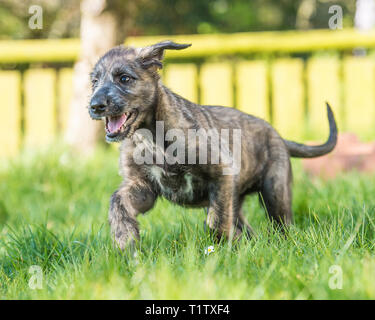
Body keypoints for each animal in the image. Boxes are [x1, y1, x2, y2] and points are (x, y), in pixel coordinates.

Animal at [89, 40, 340, 250]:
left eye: (124, 78)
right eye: (94, 82)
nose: (95, 106)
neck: (151, 137)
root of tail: (277, 135)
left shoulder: (221, 174)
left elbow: (216, 219)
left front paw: (221, 248)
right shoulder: (142, 187)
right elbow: (118, 202)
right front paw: (125, 240)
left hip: (275, 190)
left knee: (281, 224)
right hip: (240, 197)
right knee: (246, 226)